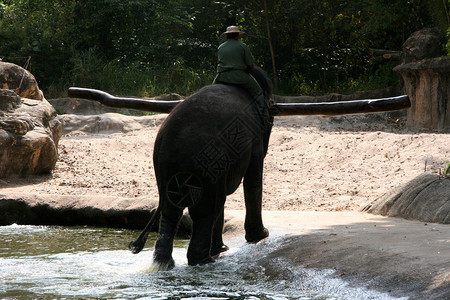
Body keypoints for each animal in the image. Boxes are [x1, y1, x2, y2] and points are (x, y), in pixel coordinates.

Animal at [67, 70, 412, 270]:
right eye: (272, 118)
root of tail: (173, 144)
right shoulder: (254, 141)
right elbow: (254, 176)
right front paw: (260, 237)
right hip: (205, 165)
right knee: (204, 207)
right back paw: (204, 258)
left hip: (168, 170)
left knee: (173, 209)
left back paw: (168, 262)